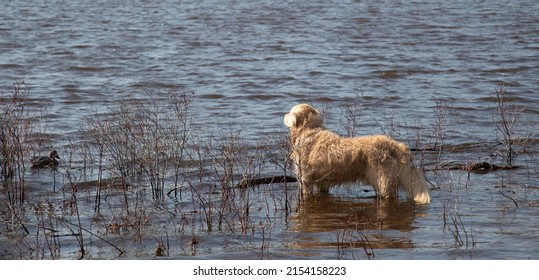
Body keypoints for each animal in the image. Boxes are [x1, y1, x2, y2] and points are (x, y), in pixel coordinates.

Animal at [284, 103, 432, 203]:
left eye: (290, 112)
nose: (283, 116)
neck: (308, 131)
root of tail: (394, 145)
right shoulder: (323, 183)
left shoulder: (305, 180)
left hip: (383, 181)